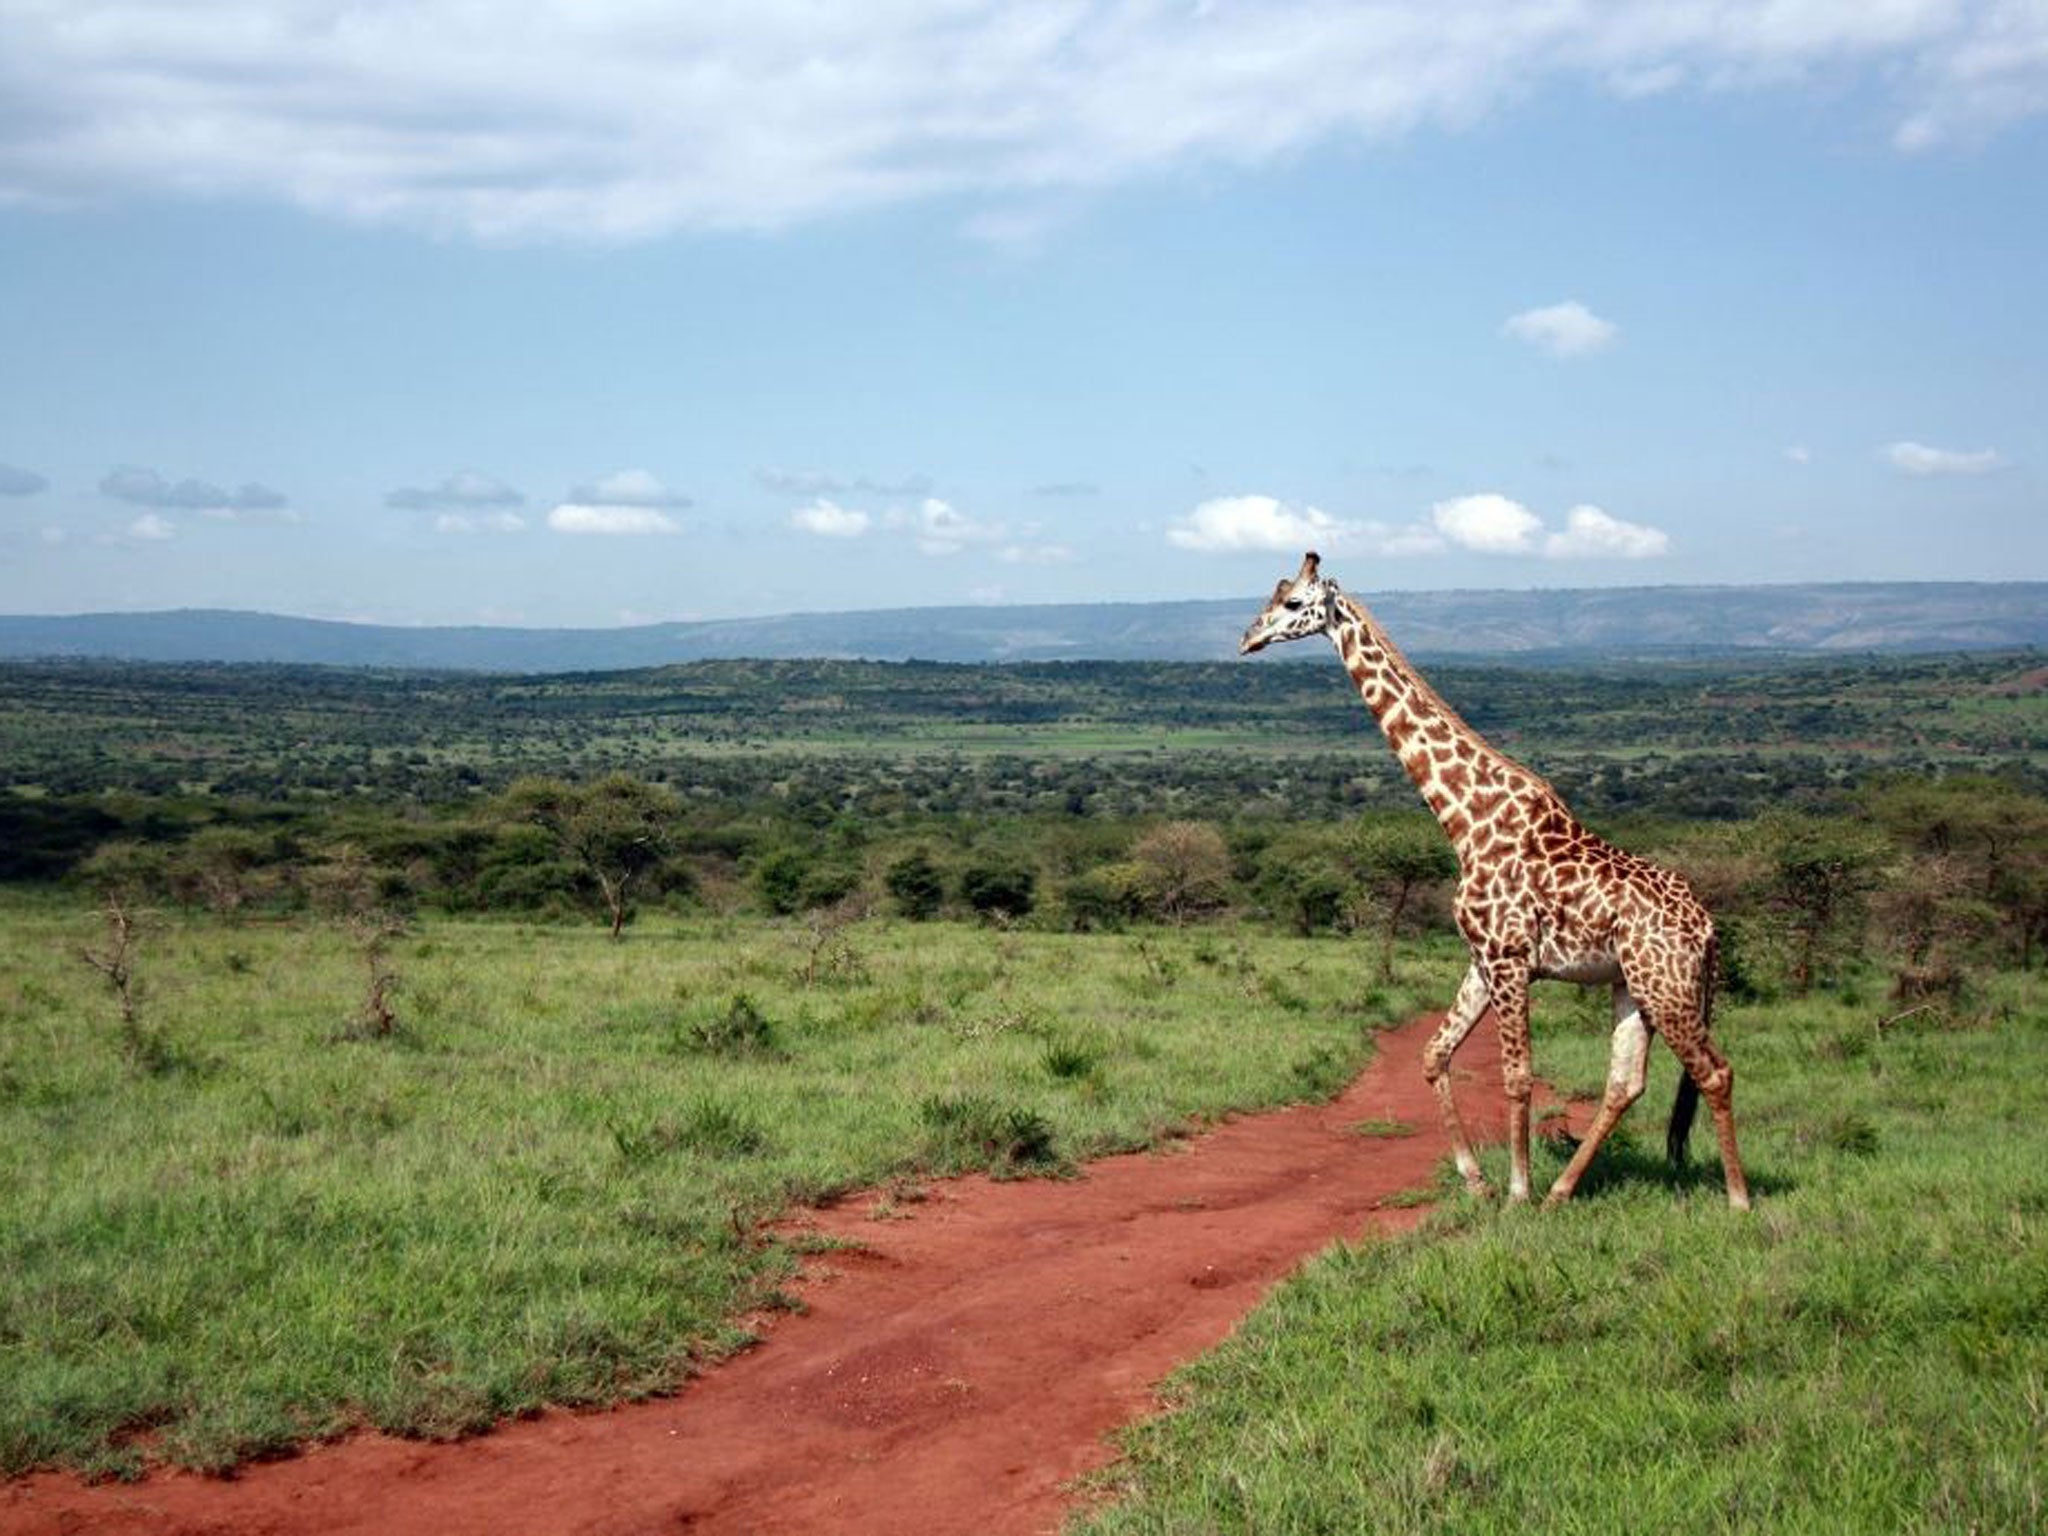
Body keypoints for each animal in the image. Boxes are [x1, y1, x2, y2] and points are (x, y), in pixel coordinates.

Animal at [1236, 552, 1753, 1212]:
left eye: (1296, 603)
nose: (1249, 638)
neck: (1464, 819)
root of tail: (1708, 927)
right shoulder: (1481, 959)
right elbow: (1434, 1054)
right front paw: (1478, 1180)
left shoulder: (1508, 958)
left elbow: (1517, 1075)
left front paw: (1514, 1191)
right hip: (1632, 984)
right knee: (1625, 1081)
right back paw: (1562, 1191)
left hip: (1669, 985)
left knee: (1715, 1071)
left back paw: (1737, 1200)